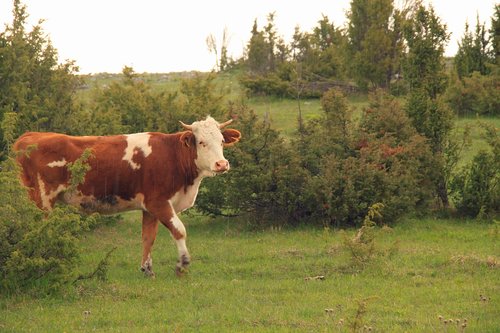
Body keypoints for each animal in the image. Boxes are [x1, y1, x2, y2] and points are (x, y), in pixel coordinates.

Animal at [12, 116, 241, 274]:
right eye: (201, 142)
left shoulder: (149, 207)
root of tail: (29, 136)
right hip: (41, 198)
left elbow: (148, 237)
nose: (221, 164)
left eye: (222, 141)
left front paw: (147, 269)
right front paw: (182, 264)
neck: (172, 156)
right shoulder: (159, 202)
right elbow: (179, 231)